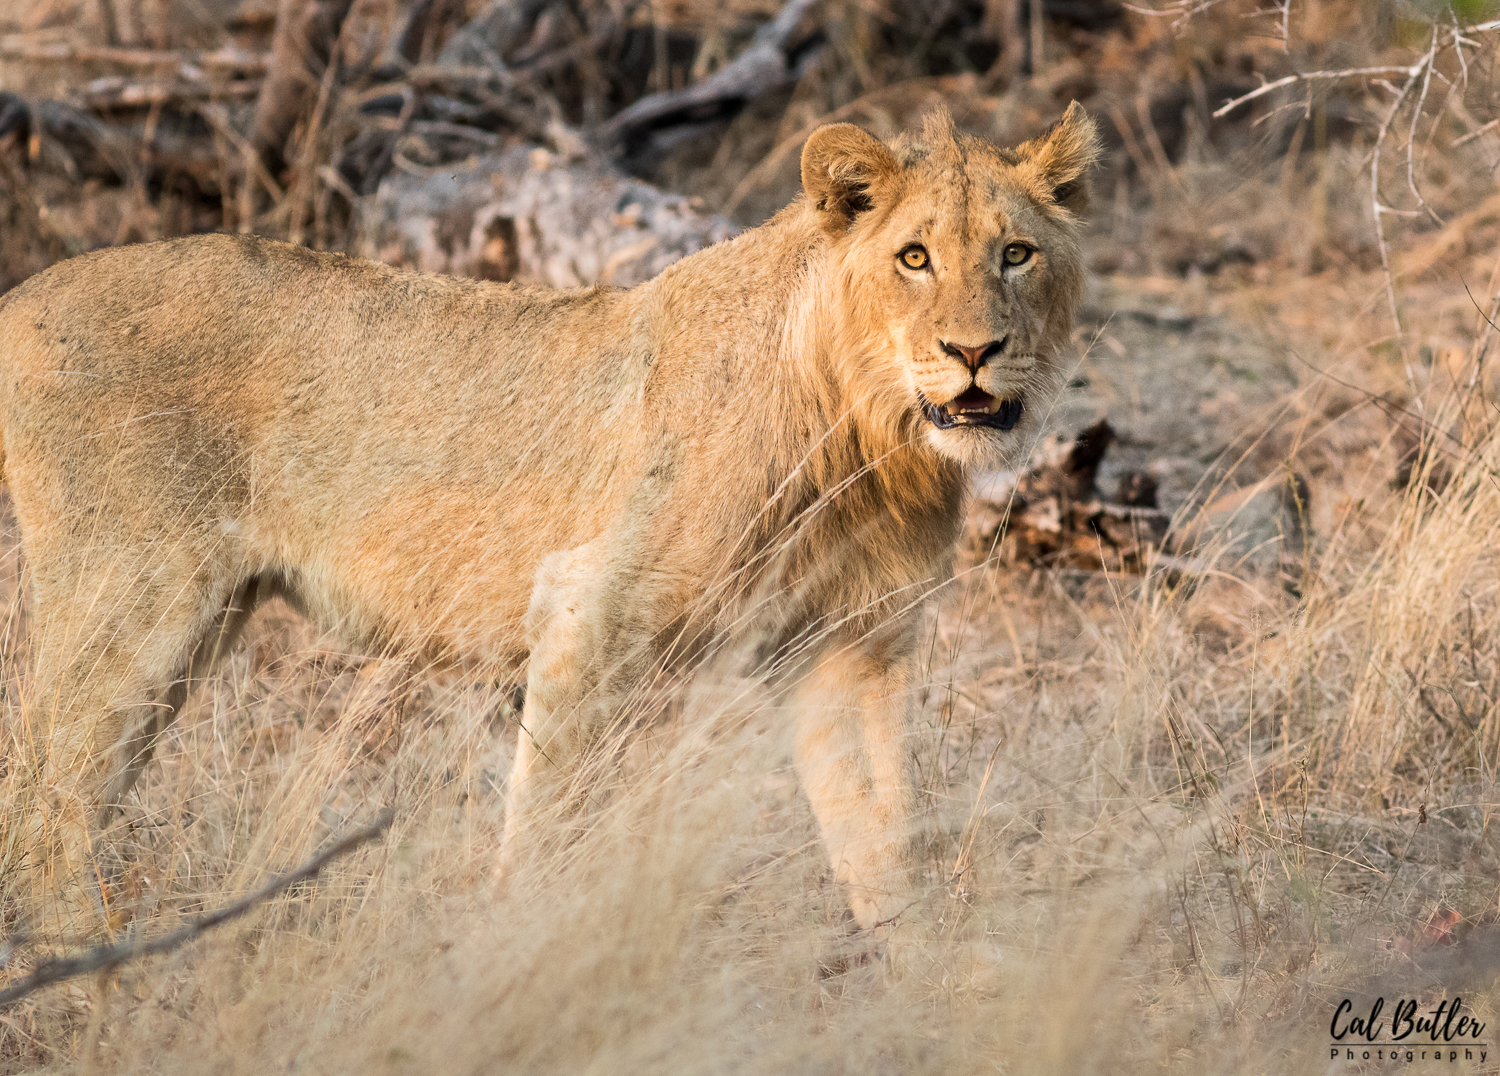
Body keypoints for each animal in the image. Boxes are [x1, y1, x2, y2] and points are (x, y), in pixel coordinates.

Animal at [0, 104, 1099, 936]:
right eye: (914, 256)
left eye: (1016, 254)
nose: (973, 353)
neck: (873, 441)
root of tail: (21, 296)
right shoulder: (587, 607)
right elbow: (545, 825)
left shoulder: (852, 642)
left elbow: (880, 834)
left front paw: (923, 981)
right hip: (133, 599)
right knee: (45, 798)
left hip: (192, 624)